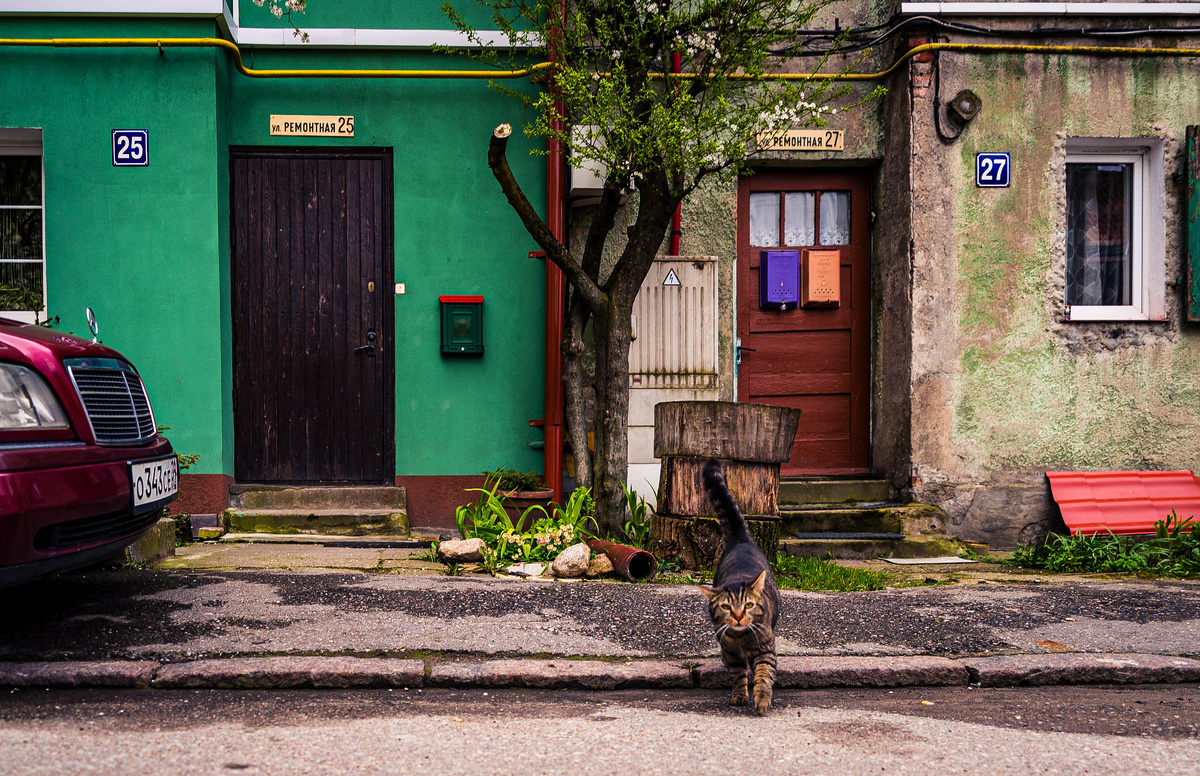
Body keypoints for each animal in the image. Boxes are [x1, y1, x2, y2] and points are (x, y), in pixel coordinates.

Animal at [696, 455, 777, 714]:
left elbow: (763, 676)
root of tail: (740, 540)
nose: (740, 616)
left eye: (749, 605)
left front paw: (762, 700)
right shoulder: (733, 654)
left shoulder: (766, 650)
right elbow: (738, 675)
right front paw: (740, 696)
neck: (742, 640)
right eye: (726, 607)